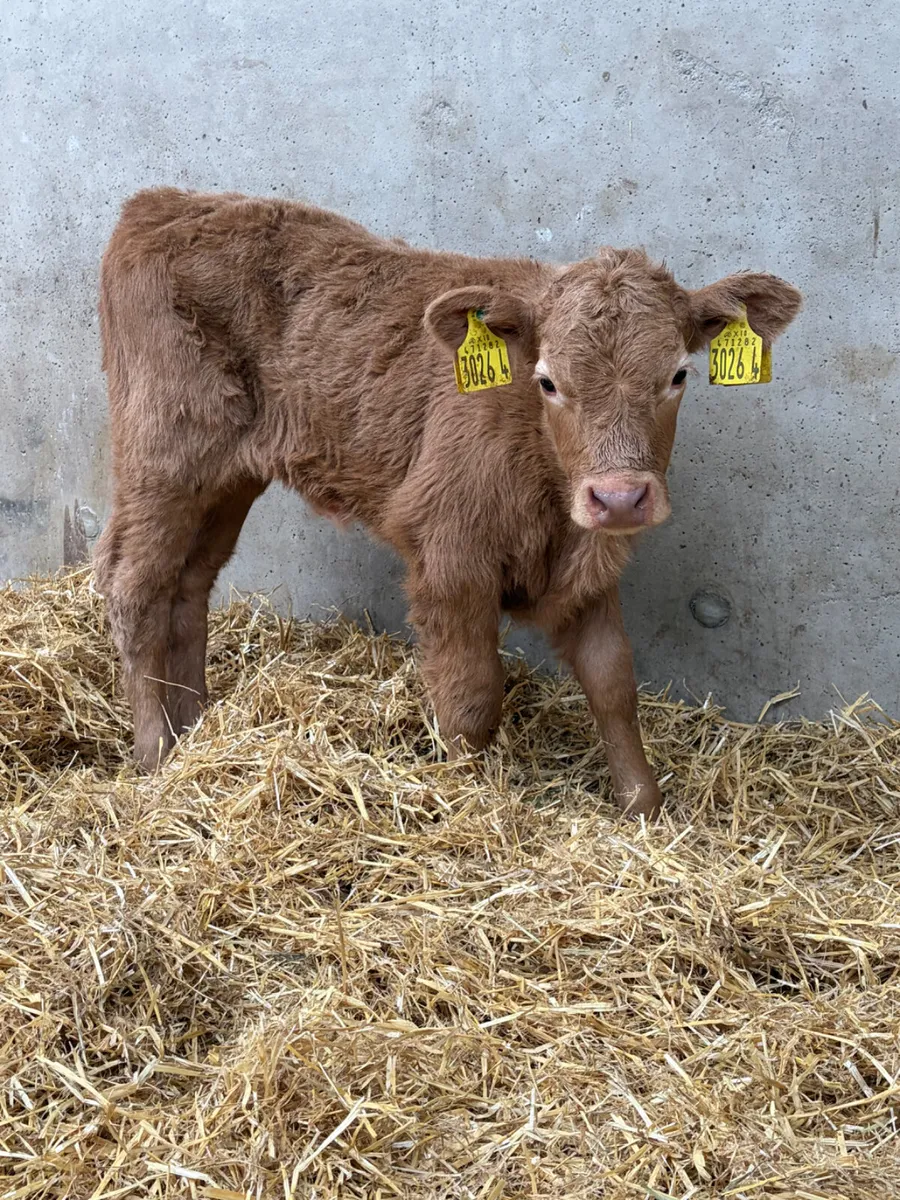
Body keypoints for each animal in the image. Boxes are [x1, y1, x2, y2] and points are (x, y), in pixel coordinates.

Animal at [94, 188, 801, 816]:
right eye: (548, 381)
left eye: (678, 375)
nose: (620, 497)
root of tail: (165, 203)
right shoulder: (451, 559)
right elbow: (472, 696)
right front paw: (464, 796)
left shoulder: (591, 566)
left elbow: (613, 683)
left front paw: (643, 808)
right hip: (163, 456)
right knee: (134, 586)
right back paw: (156, 753)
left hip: (227, 478)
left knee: (189, 585)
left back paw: (196, 727)